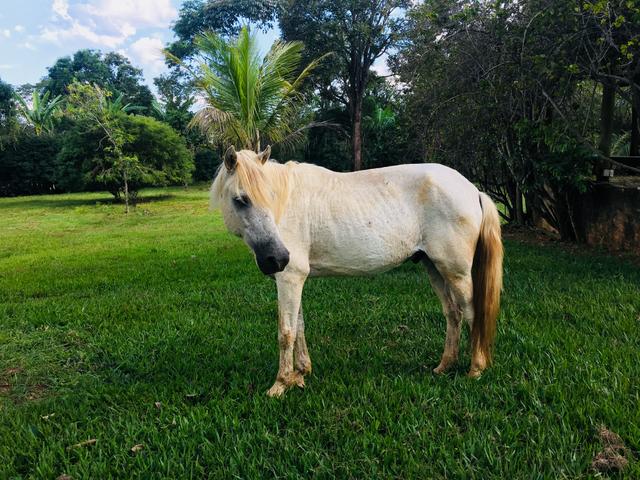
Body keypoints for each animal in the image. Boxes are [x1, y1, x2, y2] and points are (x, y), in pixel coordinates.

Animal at [211, 146, 503, 397]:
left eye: (269, 196)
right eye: (240, 200)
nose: (278, 258)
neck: (287, 206)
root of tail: (472, 189)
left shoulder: (289, 278)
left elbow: (286, 332)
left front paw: (281, 384)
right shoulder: (294, 280)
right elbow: (299, 327)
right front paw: (300, 374)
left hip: (456, 273)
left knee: (471, 313)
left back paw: (475, 370)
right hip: (434, 268)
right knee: (453, 314)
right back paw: (444, 366)